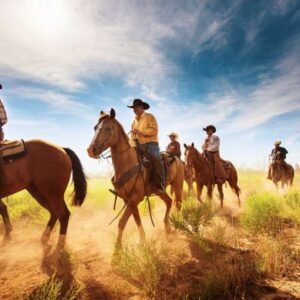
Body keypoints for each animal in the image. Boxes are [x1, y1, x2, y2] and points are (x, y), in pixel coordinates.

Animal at [87, 108, 185, 248]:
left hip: (177, 185)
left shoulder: (135, 197)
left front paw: (118, 248)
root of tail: (176, 159)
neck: (128, 162)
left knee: (178, 203)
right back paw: (167, 228)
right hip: (160, 191)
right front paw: (142, 241)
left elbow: (122, 222)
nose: (91, 150)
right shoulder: (128, 199)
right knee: (169, 202)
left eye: (108, 128)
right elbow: (136, 219)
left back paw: (177, 223)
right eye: (95, 128)